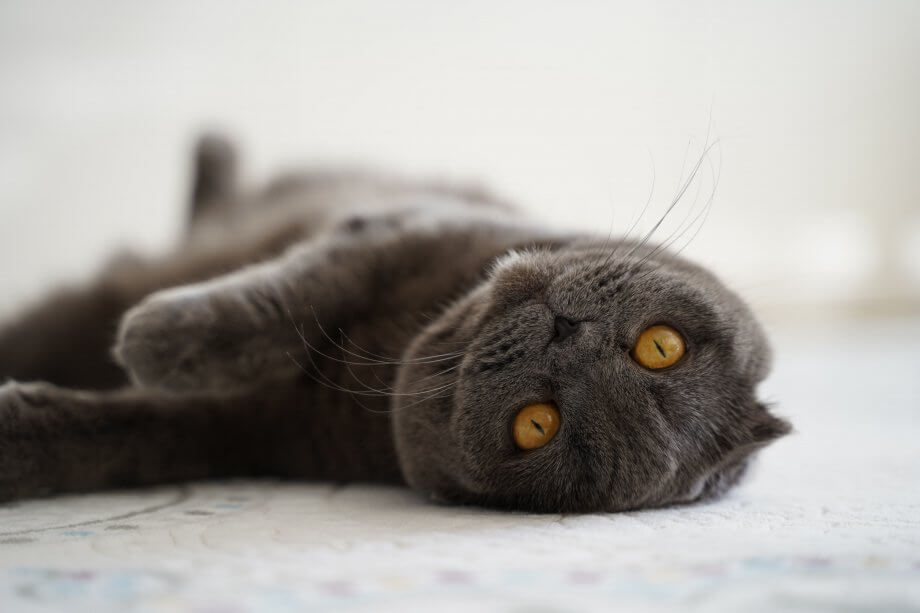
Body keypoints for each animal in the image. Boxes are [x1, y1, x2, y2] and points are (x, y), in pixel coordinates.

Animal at [0, 135, 792, 512]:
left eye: (537, 425)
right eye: (663, 346)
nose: (569, 335)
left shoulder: (249, 431)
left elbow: (117, 438)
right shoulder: (398, 228)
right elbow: (286, 295)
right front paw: (158, 335)